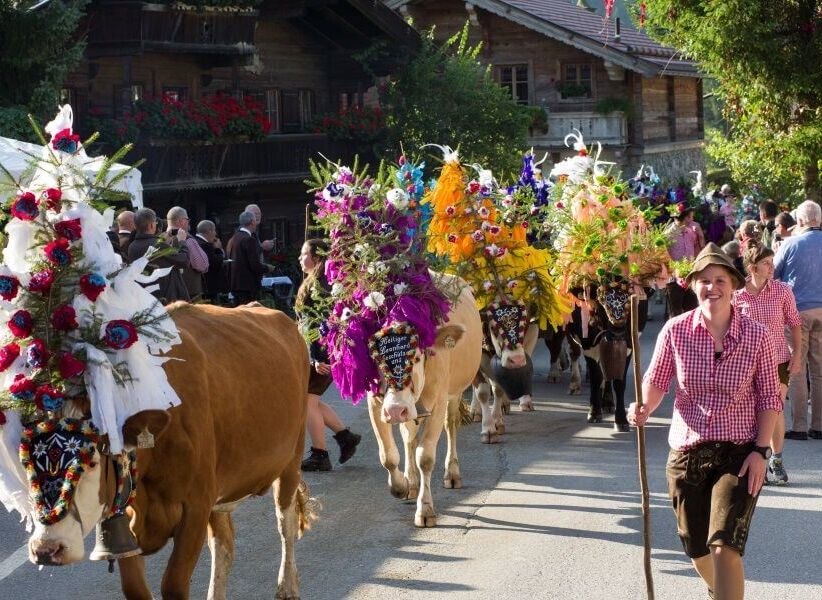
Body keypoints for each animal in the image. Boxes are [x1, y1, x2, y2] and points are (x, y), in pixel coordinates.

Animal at [25, 304, 314, 600]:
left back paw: (287, 586)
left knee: (285, 523)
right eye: (27, 460)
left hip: (292, 458)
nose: (46, 549)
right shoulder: (126, 521)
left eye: (93, 460)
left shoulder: (195, 508)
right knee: (224, 543)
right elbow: (136, 588)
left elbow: (174, 584)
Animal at [366, 274, 482, 528]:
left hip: (454, 393)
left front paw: (425, 509)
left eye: (416, 357)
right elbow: (387, 455)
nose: (395, 410)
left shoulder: (438, 403)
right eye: (376, 360)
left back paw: (452, 473)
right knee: (408, 436)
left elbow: (426, 457)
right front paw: (400, 486)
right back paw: (411, 481)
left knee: (451, 426)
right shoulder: (376, 404)